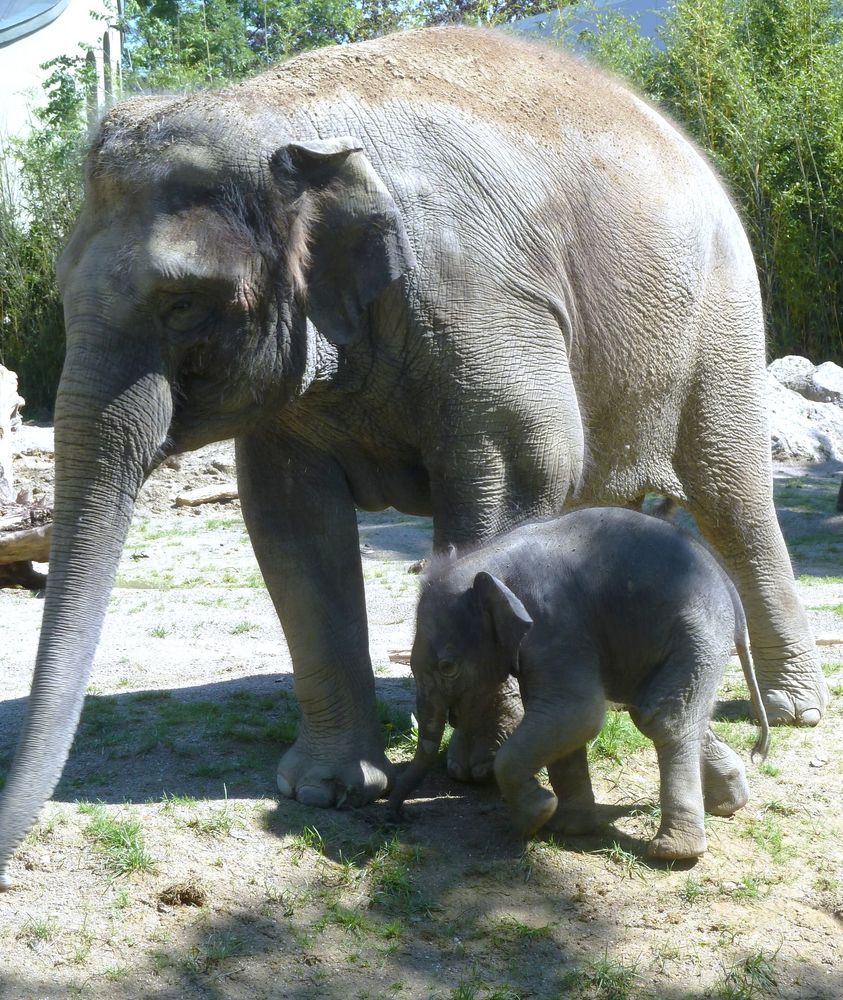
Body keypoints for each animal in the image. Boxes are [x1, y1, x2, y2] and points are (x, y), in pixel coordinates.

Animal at [390, 508, 772, 860]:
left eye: (447, 667)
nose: (402, 818)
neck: (490, 564)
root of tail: (729, 588)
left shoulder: (554, 624)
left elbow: (575, 714)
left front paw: (536, 817)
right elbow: (563, 725)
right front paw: (567, 827)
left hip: (696, 631)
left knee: (663, 720)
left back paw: (673, 853)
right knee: (665, 713)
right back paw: (729, 803)